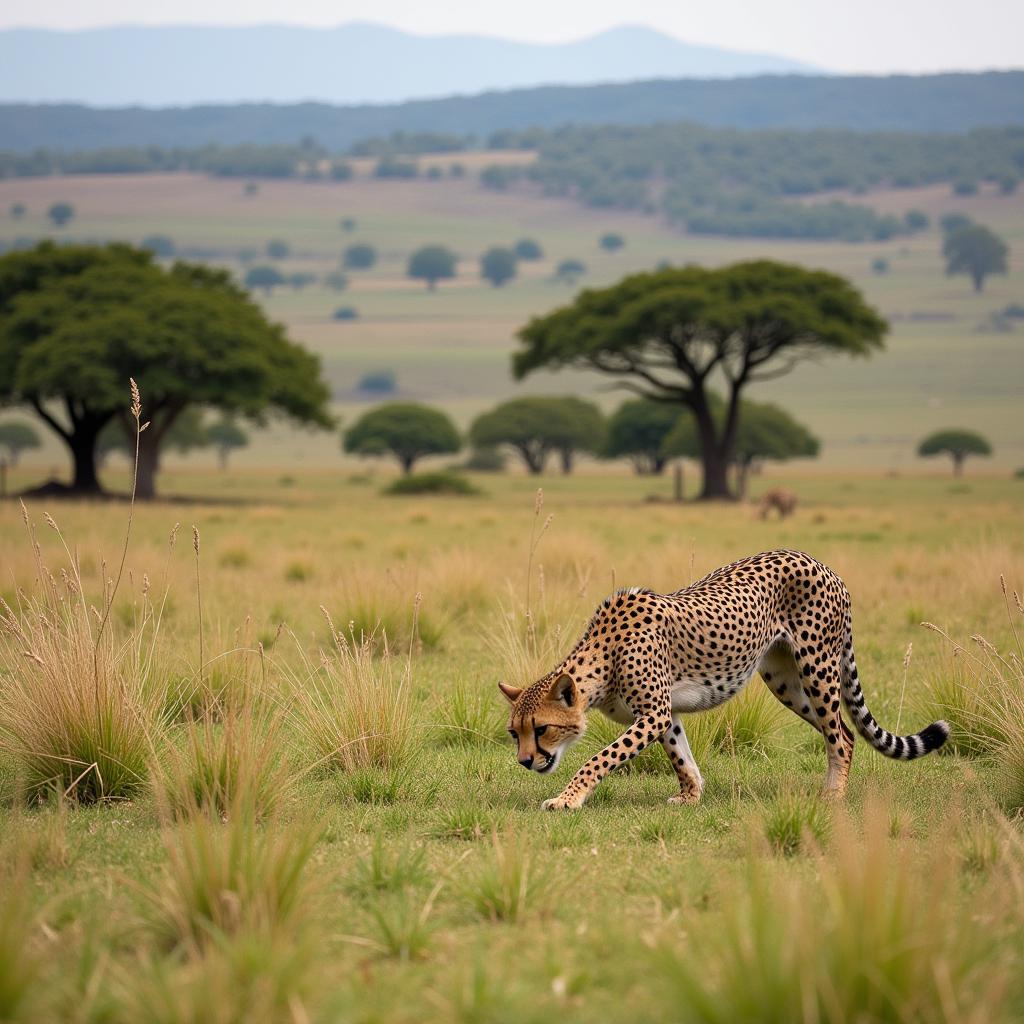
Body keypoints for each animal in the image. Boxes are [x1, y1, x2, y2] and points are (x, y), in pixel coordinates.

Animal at [499, 548, 946, 811]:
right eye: (514, 733)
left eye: (542, 728)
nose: (525, 761)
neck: (602, 658)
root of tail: (820, 562)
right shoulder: (666, 714)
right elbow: (681, 757)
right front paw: (690, 795)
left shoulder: (654, 713)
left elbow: (600, 757)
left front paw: (568, 799)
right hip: (784, 680)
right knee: (845, 731)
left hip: (817, 667)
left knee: (840, 735)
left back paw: (833, 796)